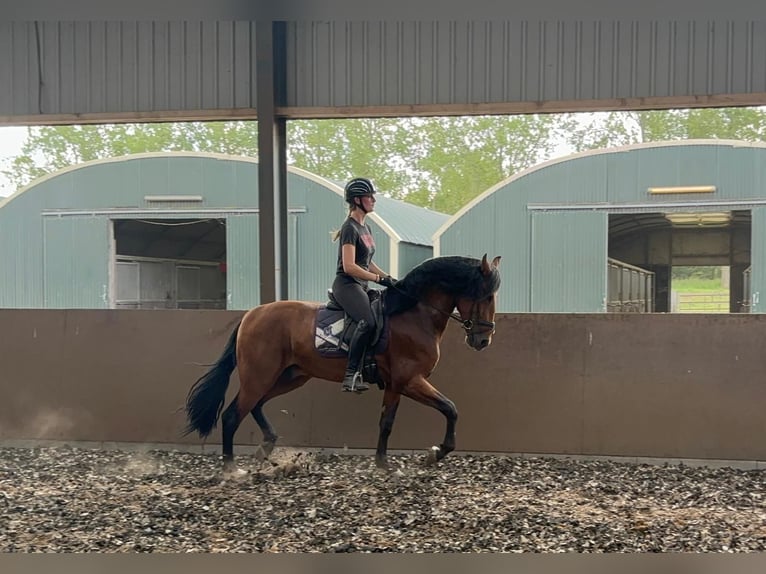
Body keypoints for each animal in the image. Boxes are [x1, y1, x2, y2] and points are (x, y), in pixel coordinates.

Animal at [186, 254, 504, 474]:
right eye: (486, 296)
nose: (483, 340)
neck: (414, 314)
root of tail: (251, 315)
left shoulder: (396, 385)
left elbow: (387, 422)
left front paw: (383, 464)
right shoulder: (410, 381)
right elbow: (450, 408)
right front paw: (435, 453)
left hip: (289, 376)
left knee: (257, 405)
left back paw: (266, 445)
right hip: (260, 376)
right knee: (232, 414)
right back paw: (232, 469)